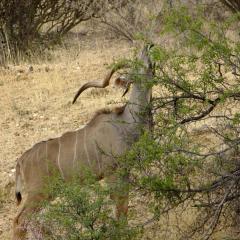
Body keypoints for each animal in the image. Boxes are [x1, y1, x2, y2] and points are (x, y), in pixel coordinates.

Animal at [12, 44, 154, 239]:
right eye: (136, 65)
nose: (147, 47)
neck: (125, 122)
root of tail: (21, 160)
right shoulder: (113, 172)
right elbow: (120, 205)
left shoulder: (124, 171)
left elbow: (123, 205)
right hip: (38, 192)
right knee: (20, 221)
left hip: (47, 194)